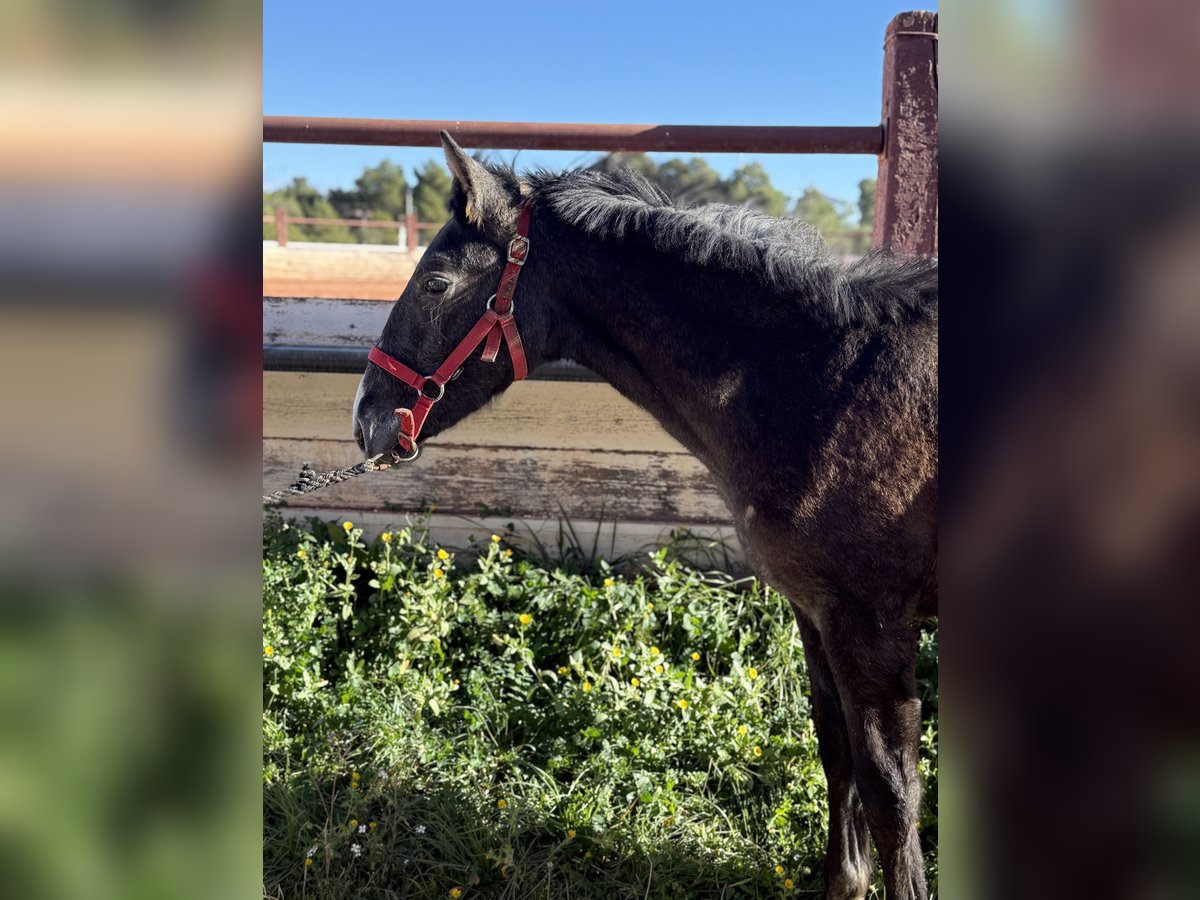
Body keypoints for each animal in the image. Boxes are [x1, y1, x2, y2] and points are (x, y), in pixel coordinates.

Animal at [352, 135, 936, 900]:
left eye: (435, 285)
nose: (366, 421)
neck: (825, 388)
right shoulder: (817, 612)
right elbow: (836, 751)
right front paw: (845, 882)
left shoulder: (871, 624)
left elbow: (893, 791)